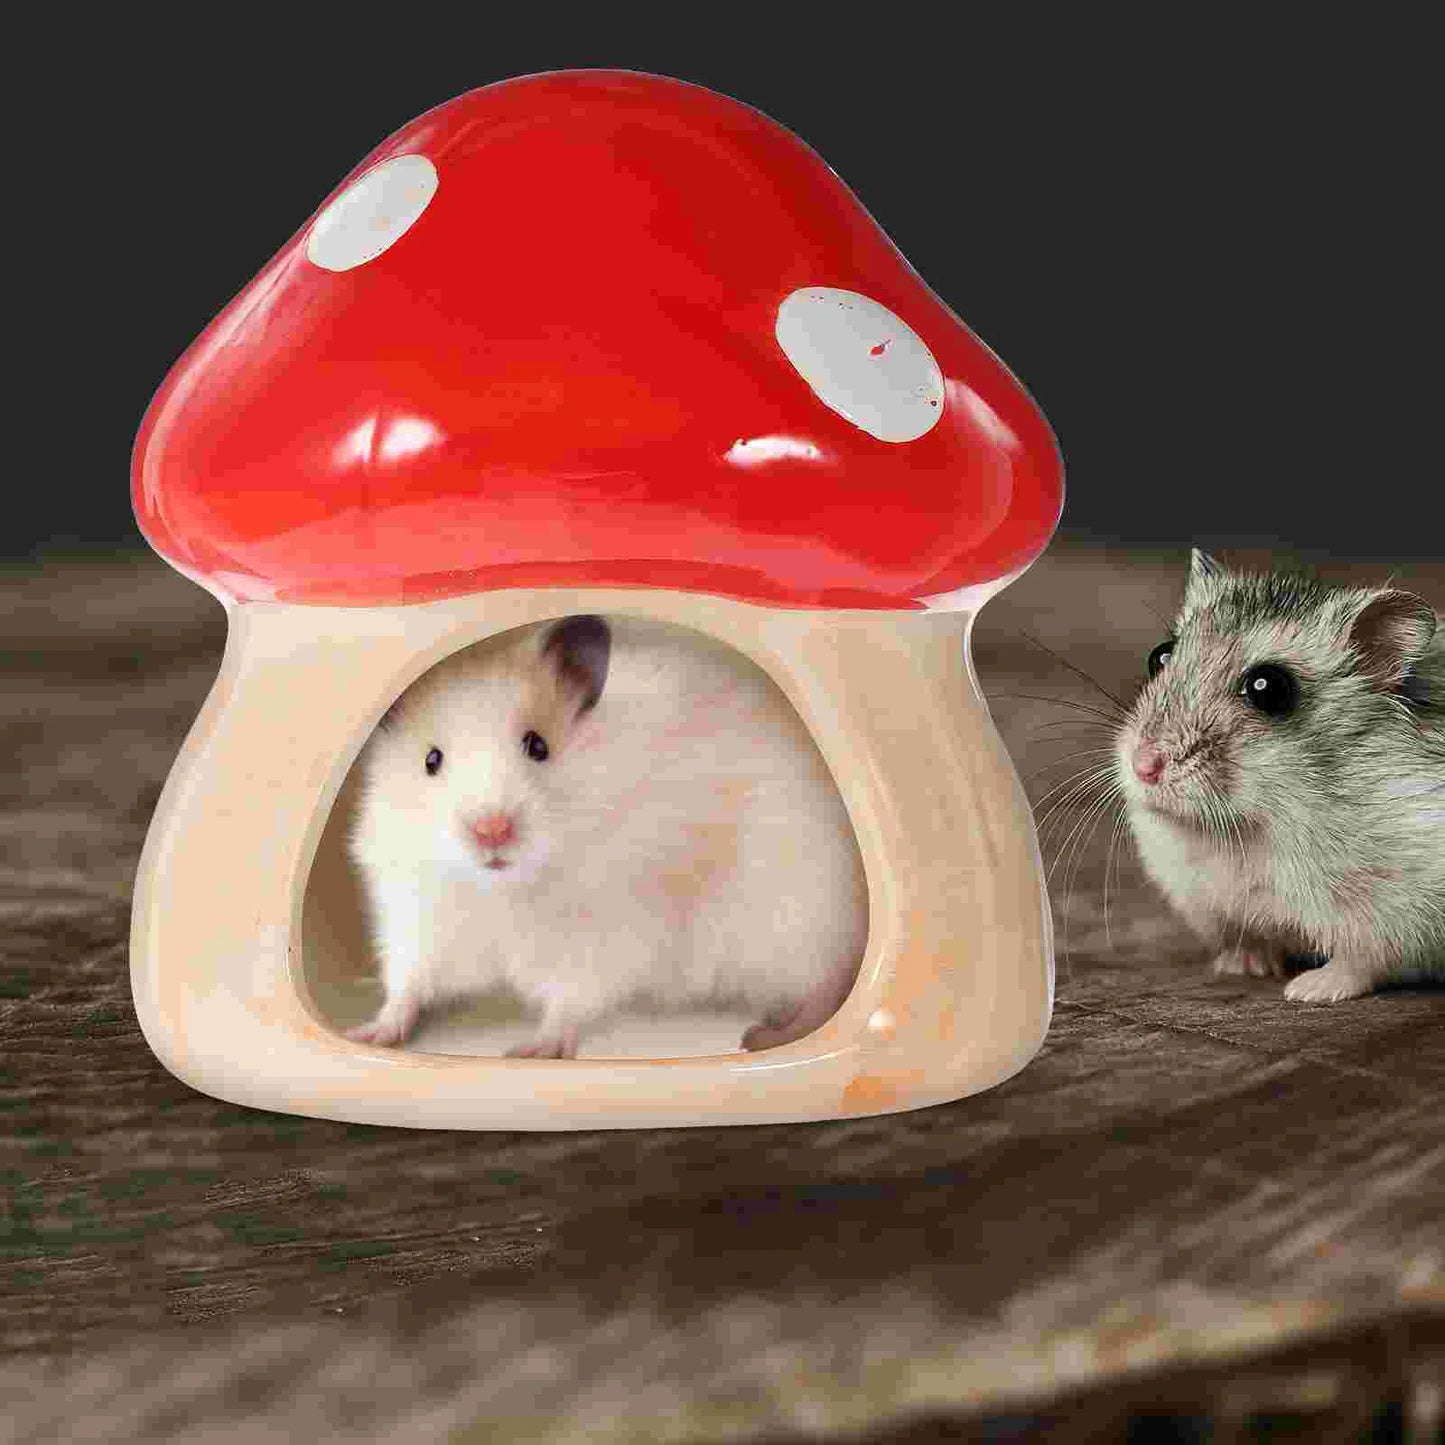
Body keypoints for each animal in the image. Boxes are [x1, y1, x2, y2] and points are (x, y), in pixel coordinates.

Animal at [345, 615, 869, 1056]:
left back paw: (764, 1035)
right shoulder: (416, 919)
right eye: (431, 760)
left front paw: (529, 1051)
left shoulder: (601, 938)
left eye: (538, 746)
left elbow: (568, 1001)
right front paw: (368, 1035)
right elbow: (406, 986)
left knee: (831, 982)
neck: (504, 890)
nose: (491, 831)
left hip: (798, 918)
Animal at [1115, 548, 1444, 1004]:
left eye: (1267, 688)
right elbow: (1250, 938)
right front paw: (1243, 966)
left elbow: (1360, 962)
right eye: (1159, 656)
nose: (1143, 766)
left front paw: (1307, 990)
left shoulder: (1393, 916)